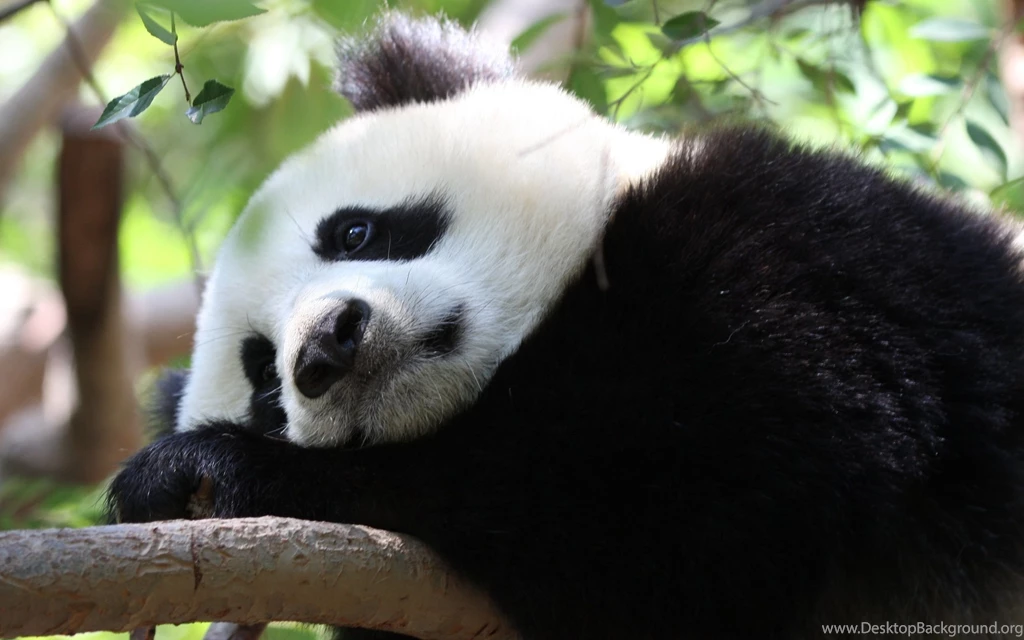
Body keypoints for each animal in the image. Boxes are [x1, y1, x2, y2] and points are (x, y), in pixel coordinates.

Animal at [108, 12, 1024, 640]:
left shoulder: (803, 256)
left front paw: (208, 471)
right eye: (265, 377)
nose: (328, 344)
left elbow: (693, 497)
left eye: (355, 232)